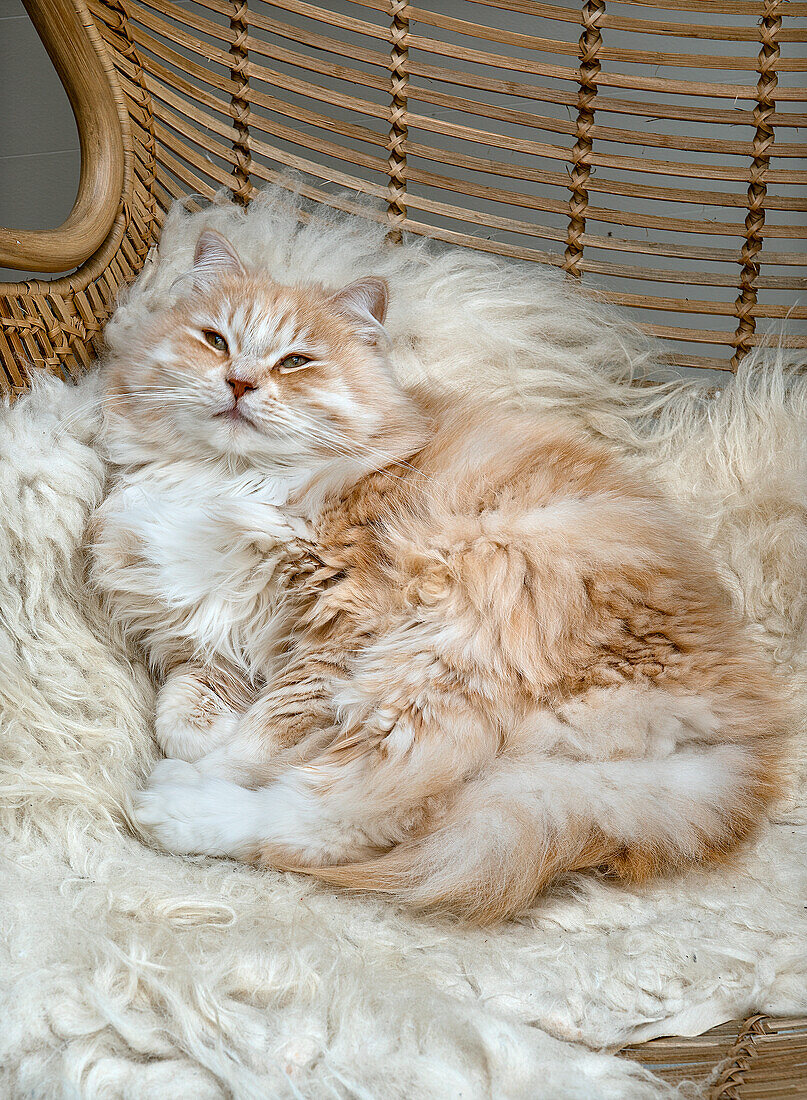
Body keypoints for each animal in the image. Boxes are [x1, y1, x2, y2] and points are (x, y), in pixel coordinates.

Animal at [90, 227, 791, 924]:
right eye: (216, 341)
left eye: (295, 362)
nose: (238, 383)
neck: (228, 482)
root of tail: (738, 738)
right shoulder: (206, 636)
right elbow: (183, 711)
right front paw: (199, 737)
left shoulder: (338, 631)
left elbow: (264, 733)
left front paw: (217, 761)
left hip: (432, 661)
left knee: (343, 815)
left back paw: (179, 808)